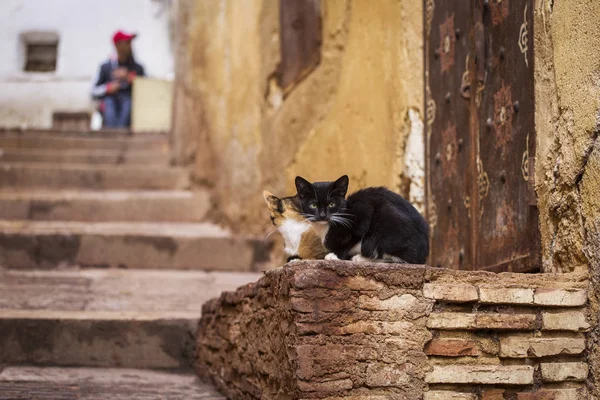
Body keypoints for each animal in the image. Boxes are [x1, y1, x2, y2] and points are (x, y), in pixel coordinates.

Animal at [292, 176, 428, 264]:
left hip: (388, 221)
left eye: (331, 204)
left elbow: (352, 239)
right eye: (313, 205)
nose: (322, 215)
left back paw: (362, 258)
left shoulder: (363, 214)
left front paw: (336, 255)